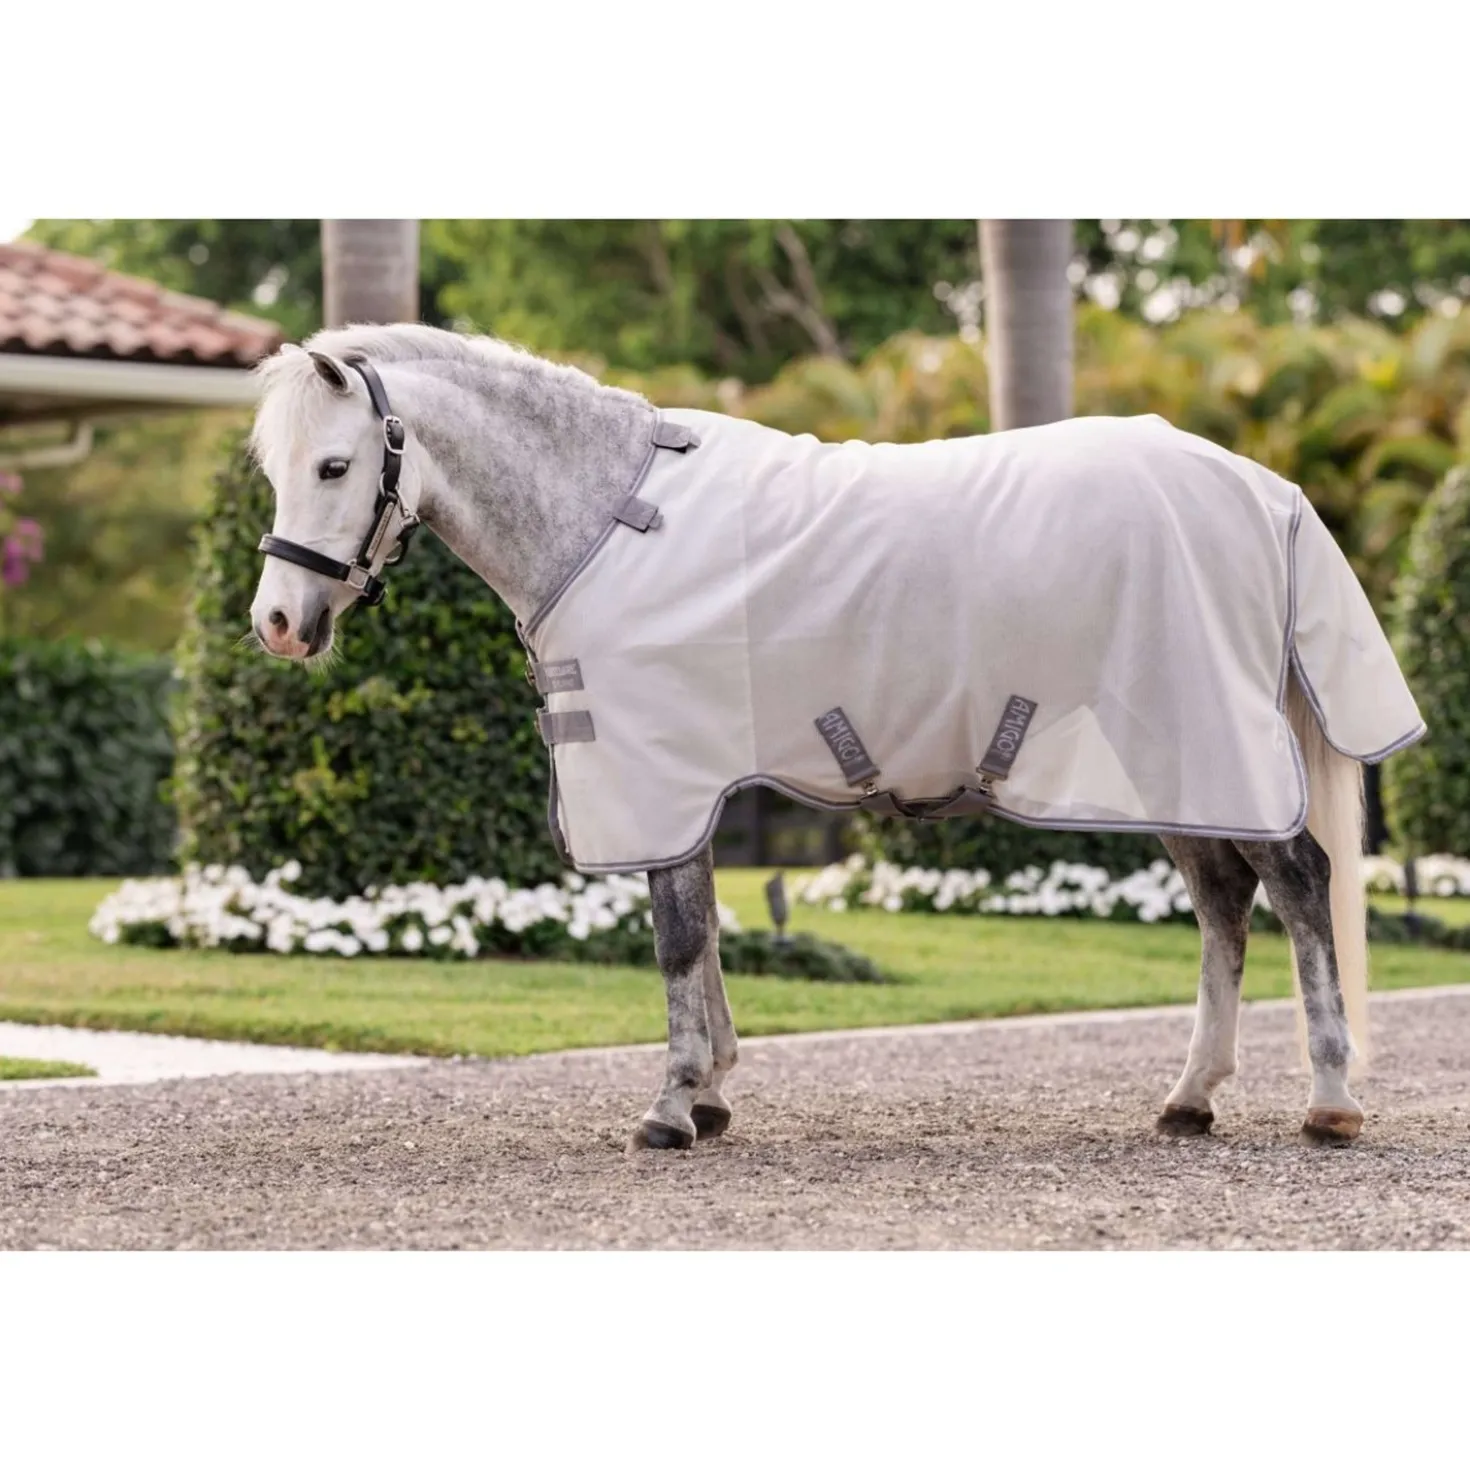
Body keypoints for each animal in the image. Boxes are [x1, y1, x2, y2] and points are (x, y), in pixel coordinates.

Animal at [248, 323, 1424, 1152]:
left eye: (335, 466)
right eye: (273, 467)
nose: (277, 624)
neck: (609, 520)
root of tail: (1264, 490)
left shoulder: (661, 775)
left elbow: (677, 938)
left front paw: (672, 1106)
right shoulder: (693, 783)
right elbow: (707, 934)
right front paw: (713, 1093)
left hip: (1209, 742)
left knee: (1300, 884)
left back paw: (1329, 1098)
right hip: (1175, 762)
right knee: (1226, 903)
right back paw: (1189, 1097)